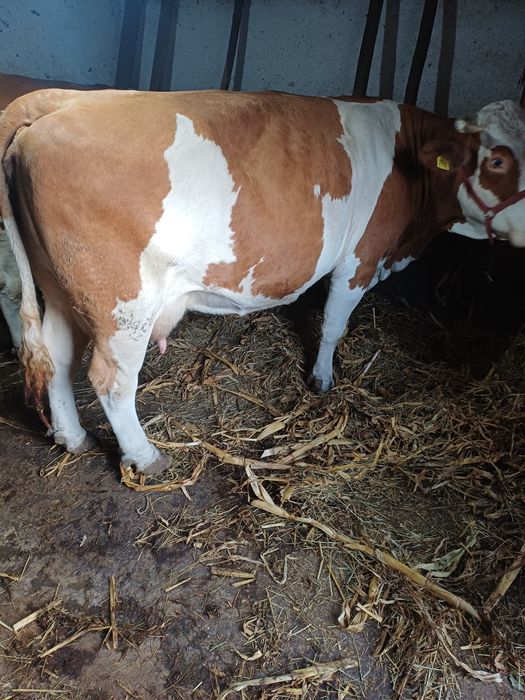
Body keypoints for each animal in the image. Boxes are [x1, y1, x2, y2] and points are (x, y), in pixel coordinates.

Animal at [0, 89, 523, 475]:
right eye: (497, 161)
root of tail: (65, 99)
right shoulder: (359, 258)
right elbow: (333, 325)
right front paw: (321, 380)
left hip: (60, 283)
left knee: (57, 356)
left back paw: (72, 437)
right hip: (122, 301)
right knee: (111, 379)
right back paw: (145, 457)